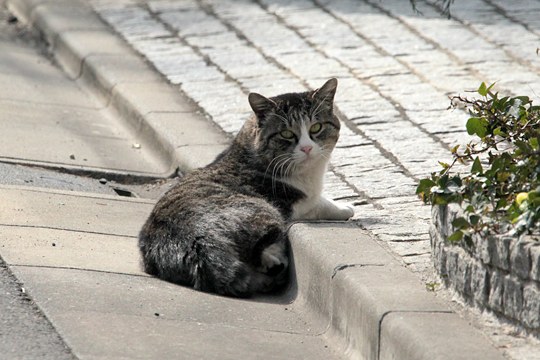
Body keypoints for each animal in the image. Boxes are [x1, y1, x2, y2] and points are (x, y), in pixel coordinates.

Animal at [138, 77, 354, 296]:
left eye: (316, 127)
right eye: (286, 133)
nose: (307, 148)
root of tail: (196, 242)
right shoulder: (292, 202)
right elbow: (317, 202)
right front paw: (344, 207)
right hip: (265, 211)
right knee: (258, 251)